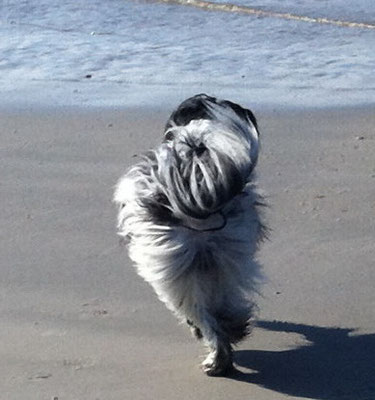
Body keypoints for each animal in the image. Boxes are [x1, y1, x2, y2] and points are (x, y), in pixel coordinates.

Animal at [113, 94, 266, 376]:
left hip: (175, 269)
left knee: (201, 313)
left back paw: (217, 352)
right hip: (228, 257)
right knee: (224, 303)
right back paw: (230, 335)